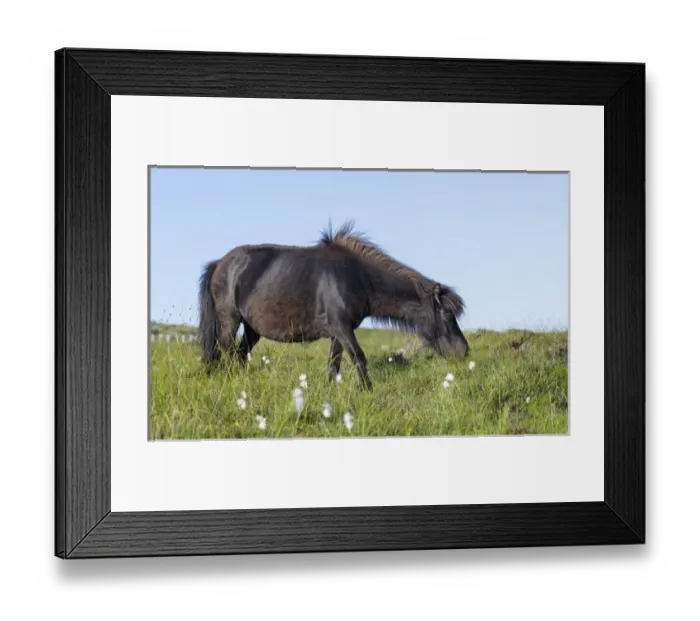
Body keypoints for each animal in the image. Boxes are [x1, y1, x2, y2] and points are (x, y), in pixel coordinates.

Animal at [198, 222, 469, 389]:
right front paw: (368, 392)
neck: (356, 276)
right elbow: (359, 358)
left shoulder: (338, 333)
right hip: (230, 321)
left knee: (240, 354)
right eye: (447, 313)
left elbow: (333, 365)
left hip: (252, 329)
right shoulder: (342, 328)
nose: (464, 351)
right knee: (227, 351)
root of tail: (220, 263)